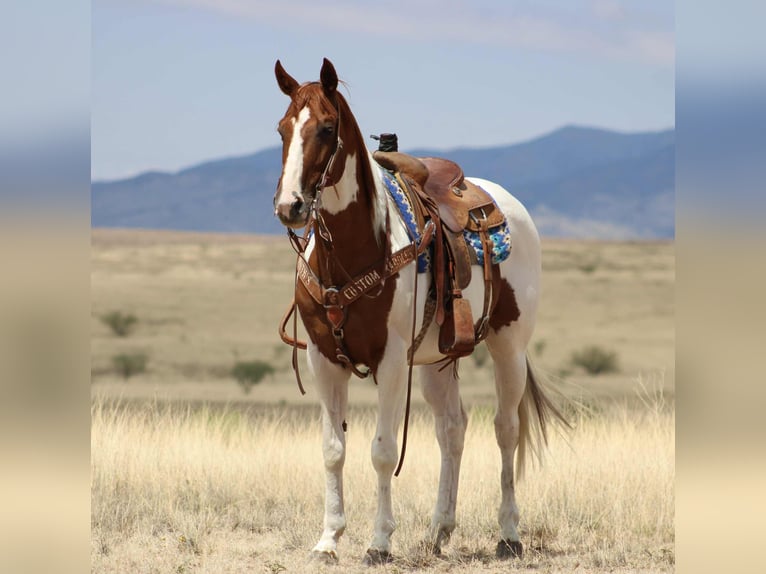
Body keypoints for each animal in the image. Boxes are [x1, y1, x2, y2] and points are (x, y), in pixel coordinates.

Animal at [272, 58, 564, 564]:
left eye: (327, 128)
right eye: (282, 129)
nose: (290, 206)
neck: (353, 252)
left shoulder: (391, 363)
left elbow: (383, 452)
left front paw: (379, 542)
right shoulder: (323, 361)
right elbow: (333, 450)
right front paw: (328, 540)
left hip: (508, 346)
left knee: (506, 430)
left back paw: (508, 534)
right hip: (435, 360)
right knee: (453, 429)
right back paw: (438, 531)